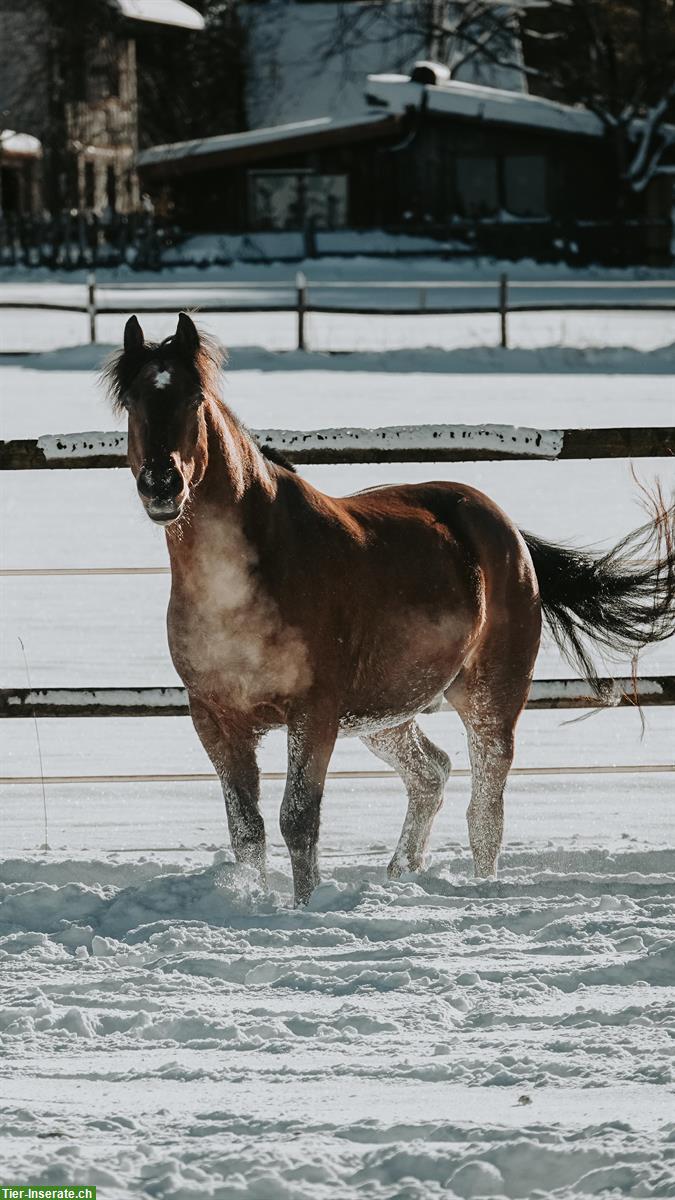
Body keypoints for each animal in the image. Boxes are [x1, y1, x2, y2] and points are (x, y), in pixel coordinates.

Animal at [103, 314, 672, 902]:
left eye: (194, 399)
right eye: (133, 401)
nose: (162, 484)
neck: (235, 592)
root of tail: (507, 531)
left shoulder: (314, 712)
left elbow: (297, 820)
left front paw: (304, 907)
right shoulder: (216, 719)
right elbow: (247, 830)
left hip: (490, 698)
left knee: (485, 810)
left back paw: (476, 886)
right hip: (385, 714)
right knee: (431, 774)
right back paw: (401, 873)